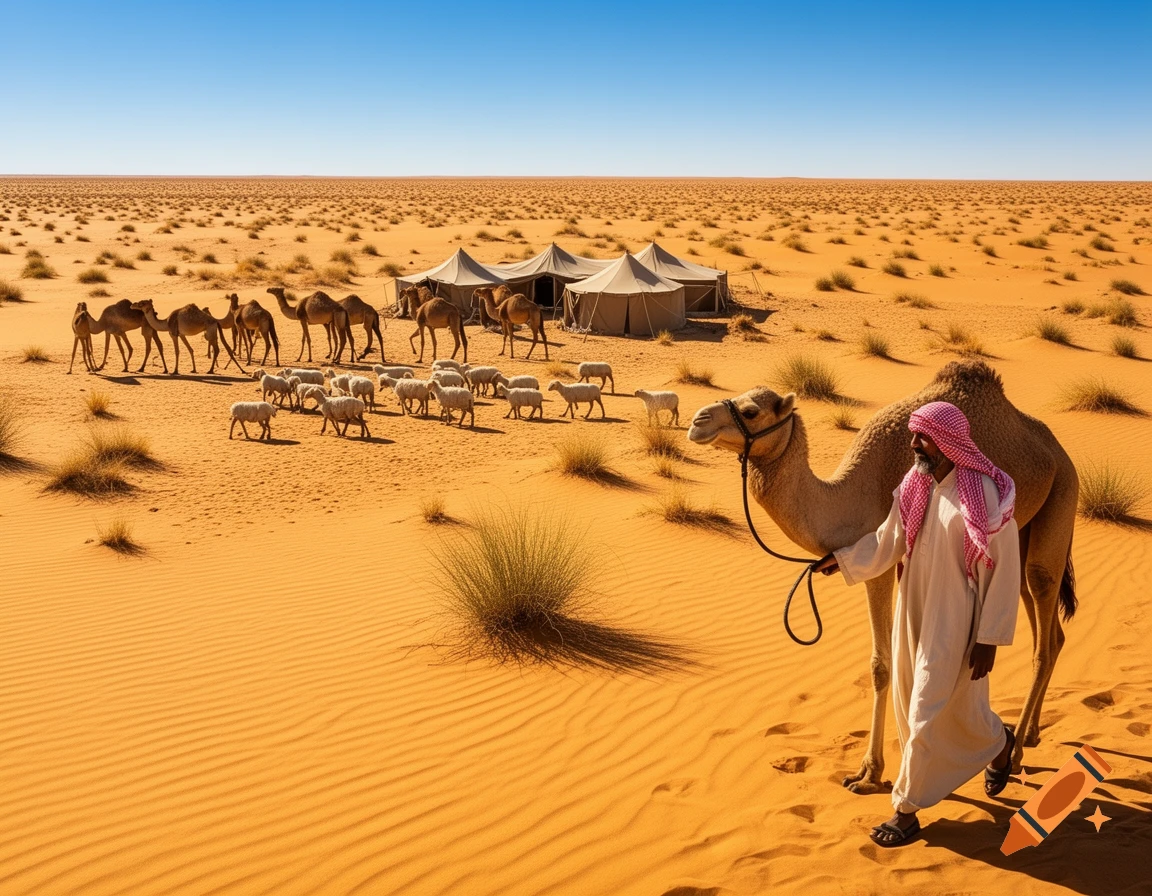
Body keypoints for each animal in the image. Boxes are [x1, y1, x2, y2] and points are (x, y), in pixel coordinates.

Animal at [686, 360, 1078, 788]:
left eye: (752, 410)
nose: (697, 421)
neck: (854, 495)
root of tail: (1060, 453)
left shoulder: (884, 564)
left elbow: (881, 665)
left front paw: (869, 772)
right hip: (1021, 532)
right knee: (1047, 627)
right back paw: (1033, 732)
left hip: (1063, 494)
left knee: (1041, 615)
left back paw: (1015, 751)